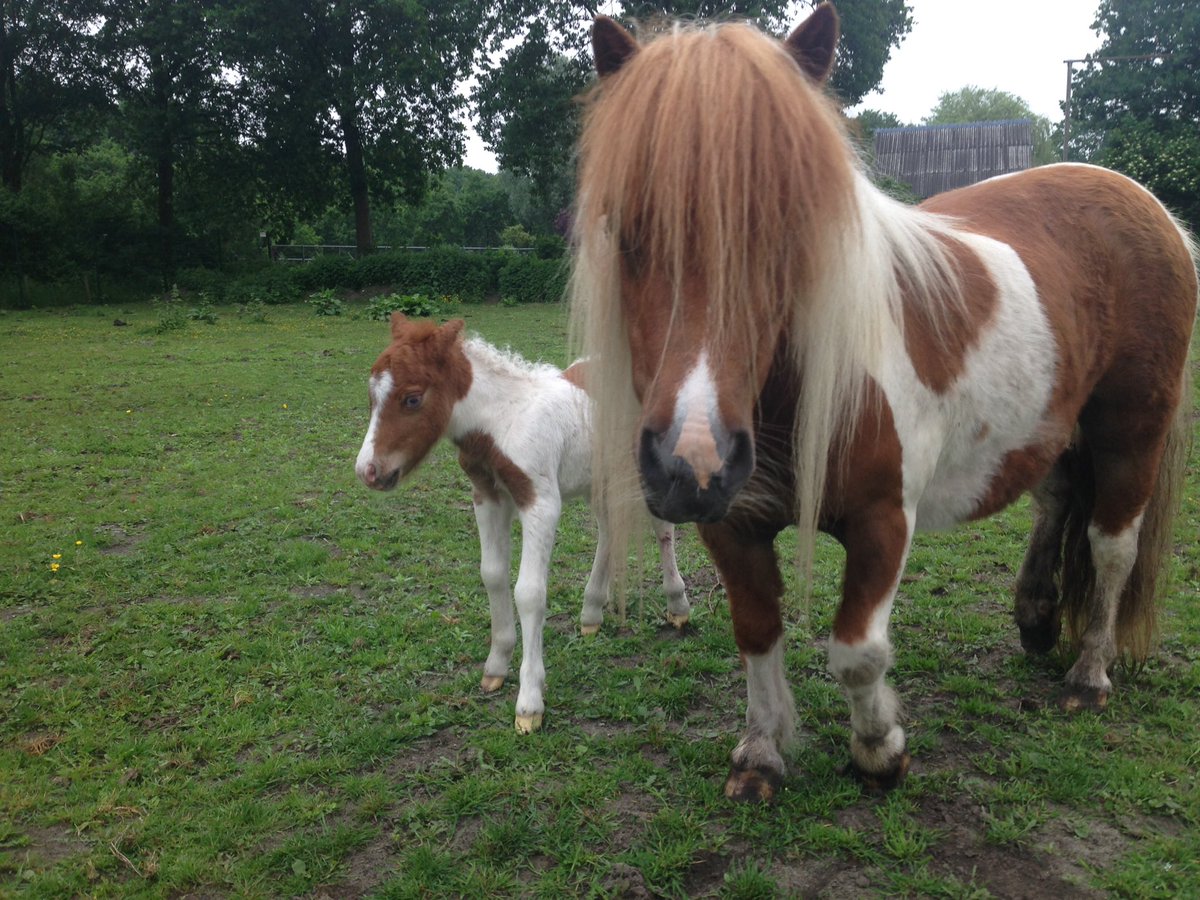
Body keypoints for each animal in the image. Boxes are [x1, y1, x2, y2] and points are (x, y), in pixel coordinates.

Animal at [354, 313, 692, 733]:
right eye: (372, 396)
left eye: (412, 398)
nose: (368, 471)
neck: (504, 423)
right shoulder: (487, 496)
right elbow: (493, 575)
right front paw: (496, 665)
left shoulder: (541, 503)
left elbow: (529, 592)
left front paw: (529, 704)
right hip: (599, 476)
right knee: (608, 530)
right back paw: (591, 613)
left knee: (662, 528)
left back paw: (677, 606)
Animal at [572, 3, 1197, 801]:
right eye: (628, 228)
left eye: (789, 229)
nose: (692, 464)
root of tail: (1149, 205)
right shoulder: (733, 525)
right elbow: (756, 632)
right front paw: (761, 753)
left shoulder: (883, 520)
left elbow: (856, 651)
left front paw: (879, 751)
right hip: (1054, 425)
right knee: (1057, 502)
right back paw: (1034, 618)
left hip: (1130, 429)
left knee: (1111, 547)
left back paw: (1089, 674)